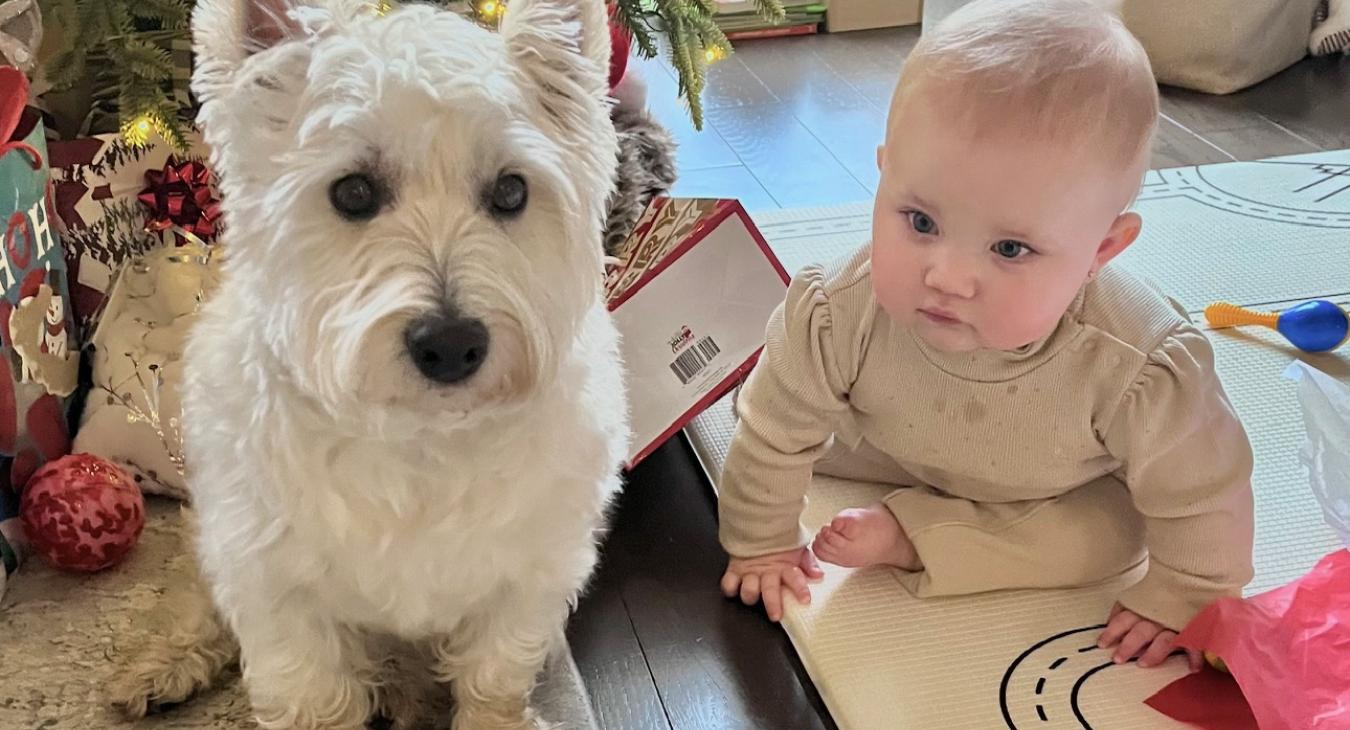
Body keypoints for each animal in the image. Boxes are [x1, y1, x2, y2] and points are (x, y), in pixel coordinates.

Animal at [108, 0, 629, 723]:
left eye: (511, 191)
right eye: (353, 192)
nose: (451, 345)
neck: (420, 434)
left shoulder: (530, 574)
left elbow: (494, 672)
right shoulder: (276, 585)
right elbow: (312, 694)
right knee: (194, 592)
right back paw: (160, 668)